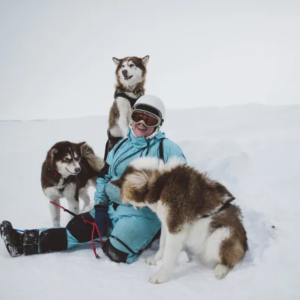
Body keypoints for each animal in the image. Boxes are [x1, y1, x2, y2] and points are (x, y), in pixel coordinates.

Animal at [111, 157, 247, 284]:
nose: (134, 208)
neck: (160, 184)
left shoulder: (175, 228)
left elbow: (168, 255)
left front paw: (160, 276)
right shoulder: (166, 224)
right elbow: (162, 245)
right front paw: (156, 259)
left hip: (221, 236)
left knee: (229, 260)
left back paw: (221, 269)